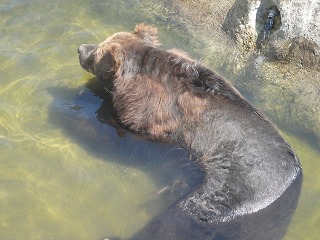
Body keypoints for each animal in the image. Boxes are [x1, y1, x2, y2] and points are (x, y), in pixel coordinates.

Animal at [77, 23, 302, 239]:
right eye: (99, 43)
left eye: (97, 51)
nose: (81, 49)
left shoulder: (153, 115)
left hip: (234, 192)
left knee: (179, 220)